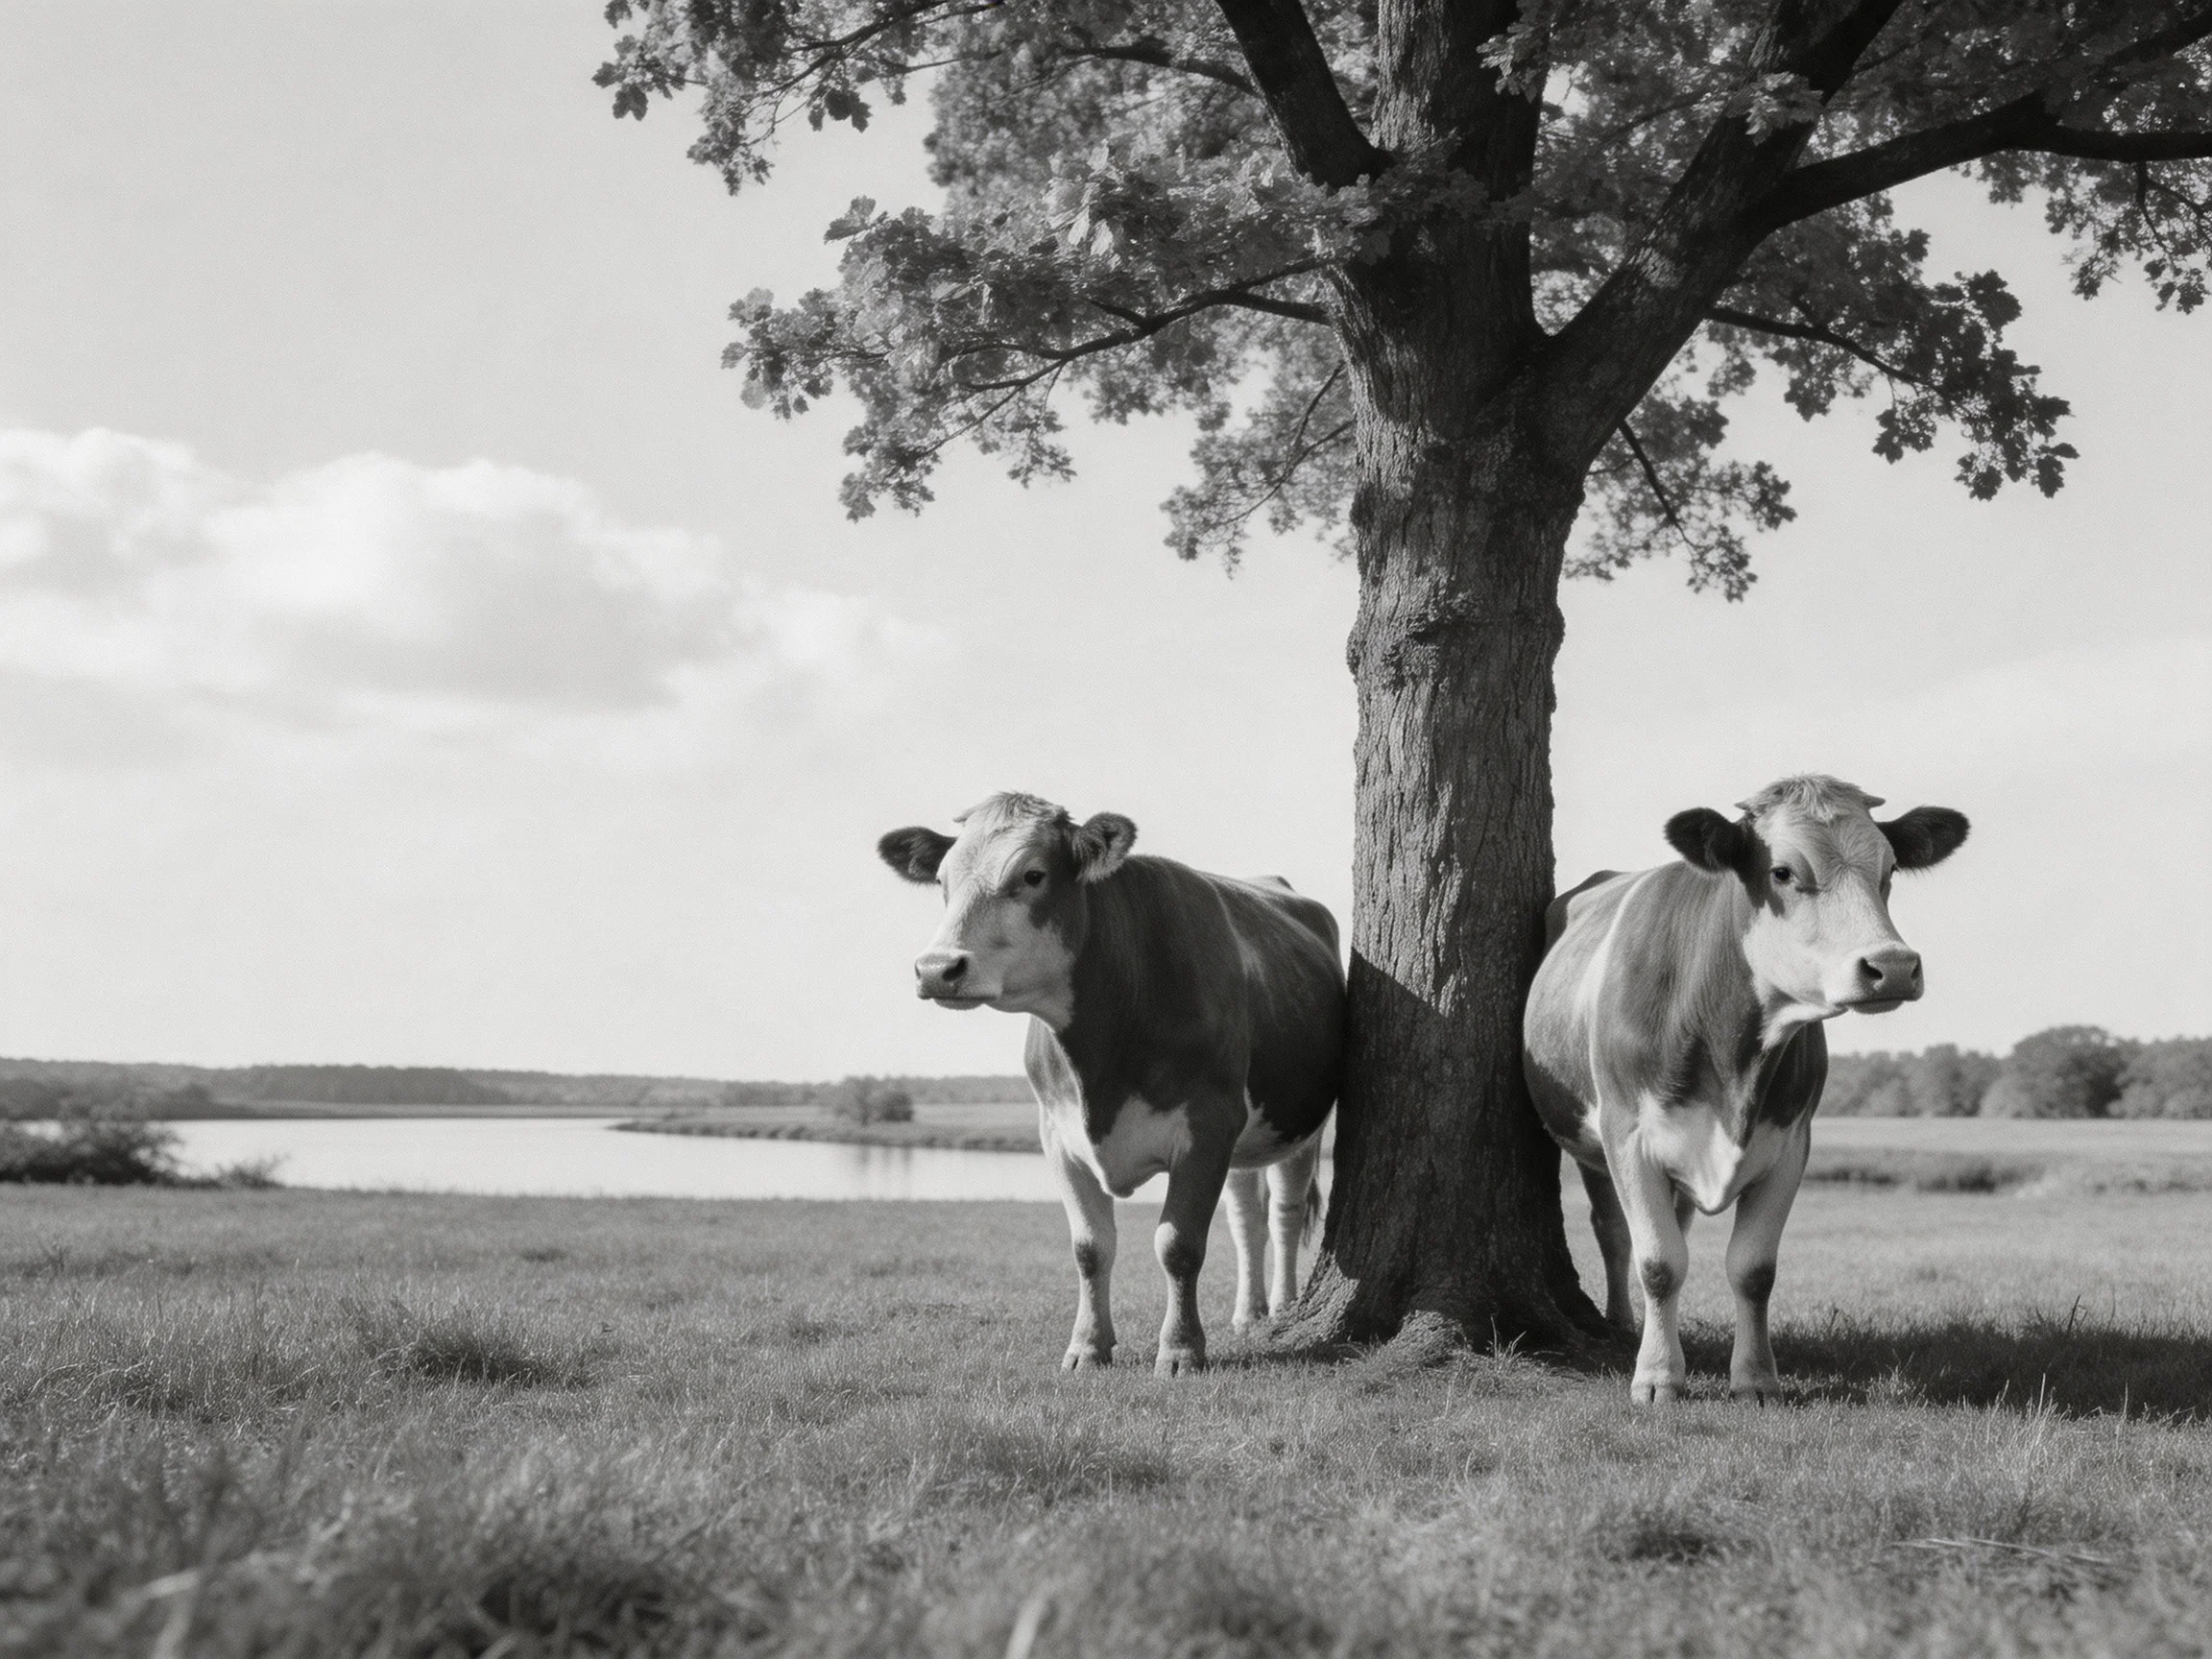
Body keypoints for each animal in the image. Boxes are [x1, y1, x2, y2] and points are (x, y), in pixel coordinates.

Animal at [878, 792, 1343, 1375]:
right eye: (942, 880)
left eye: (1033, 874)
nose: (938, 969)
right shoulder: (1057, 1135)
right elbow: (1090, 1247)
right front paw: (1087, 1346)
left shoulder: (1208, 1125)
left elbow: (1178, 1244)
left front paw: (1181, 1351)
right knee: (1246, 1217)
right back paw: (1248, 1312)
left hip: (1301, 1124)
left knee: (1284, 1211)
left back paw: (1280, 1307)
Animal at [1524, 775, 1968, 1404]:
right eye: (1782, 871)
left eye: (1888, 871)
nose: (1894, 965)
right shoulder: (1626, 1133)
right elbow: (1658, 1262)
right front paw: (1657, 1377)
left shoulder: (1790, 1142)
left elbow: (1753, 1270)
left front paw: (1755, 1378)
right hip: (1590, 1142)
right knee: (1614, 1233)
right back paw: (1622, 1324)